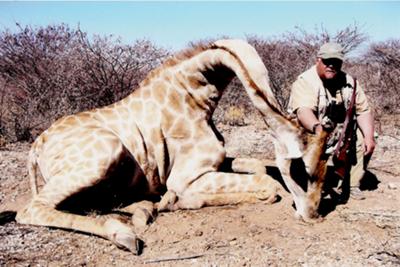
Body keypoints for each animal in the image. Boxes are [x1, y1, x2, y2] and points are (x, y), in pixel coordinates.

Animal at [14, 38, 328, 254]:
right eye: (303, 169)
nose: (312, 215)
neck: (196, 99)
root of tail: (37, 146)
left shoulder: (218, 161)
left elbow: (260, 168)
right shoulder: (185, 177)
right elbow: (268, 184)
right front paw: (172, 201)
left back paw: (143, 210)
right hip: (103, 154)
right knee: (30, 210)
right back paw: (126, 232)